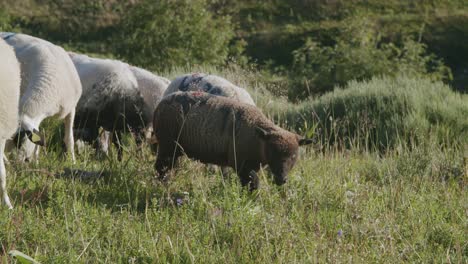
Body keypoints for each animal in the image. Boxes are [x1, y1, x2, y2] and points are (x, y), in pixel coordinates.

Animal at [154, 91, 314, 190]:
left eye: (294, 156)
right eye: (272, 153)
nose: (281, 179)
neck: (258, 140)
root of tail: (161, 103)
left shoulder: (250, 166)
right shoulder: (241, 164)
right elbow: (253, 184)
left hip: (175, 149)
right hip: (167, 144)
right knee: (161, 168)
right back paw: (163, 186)